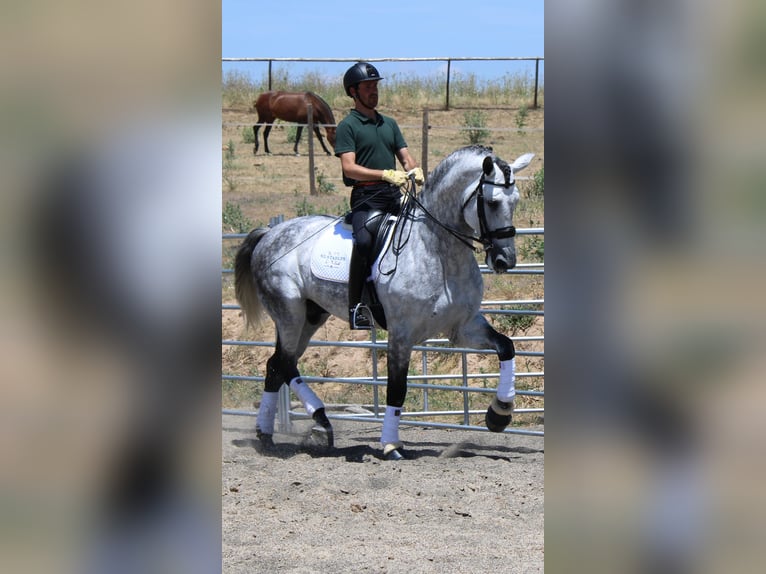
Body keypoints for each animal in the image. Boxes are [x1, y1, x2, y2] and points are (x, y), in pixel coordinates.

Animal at [234, 145, 535, 460]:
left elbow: (506, 346)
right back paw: (312, 422)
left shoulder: (462, 327)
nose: (504, 260)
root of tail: (269, 234)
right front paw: (391, 445)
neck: (436, 249)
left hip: (311, 316)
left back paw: (275, 433)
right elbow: (397, 387)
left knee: (278, 365)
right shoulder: (401, 334)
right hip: (289, 313)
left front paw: (499, 414)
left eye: (515, 201)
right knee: (282, 363)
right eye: (491, 202)